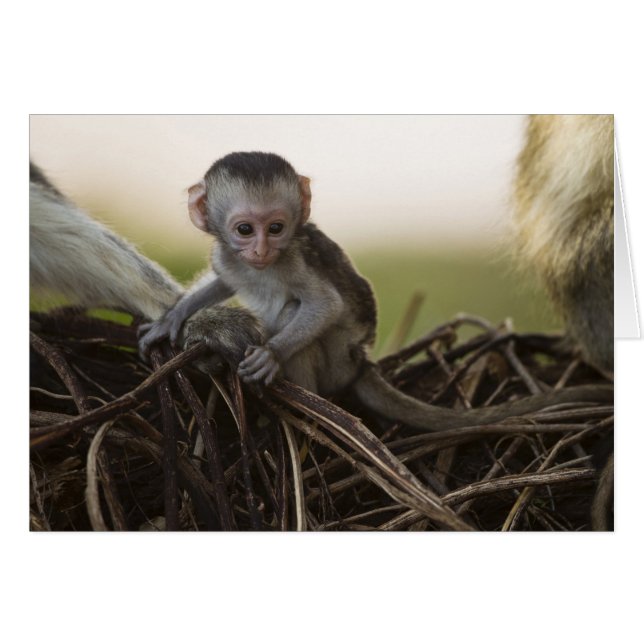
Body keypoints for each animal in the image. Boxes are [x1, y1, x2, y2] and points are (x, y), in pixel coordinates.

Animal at [138, 151, 612, 432]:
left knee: (301, 317)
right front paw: (172, 318)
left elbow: (325, 304)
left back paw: (306, 405)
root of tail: (362, 361)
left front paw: (270, 355)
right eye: (244, 230)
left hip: (338, 363)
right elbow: (221, 281)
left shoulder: (293, 258)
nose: (261, 249)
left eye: (276, 228)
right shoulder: (227, 258)